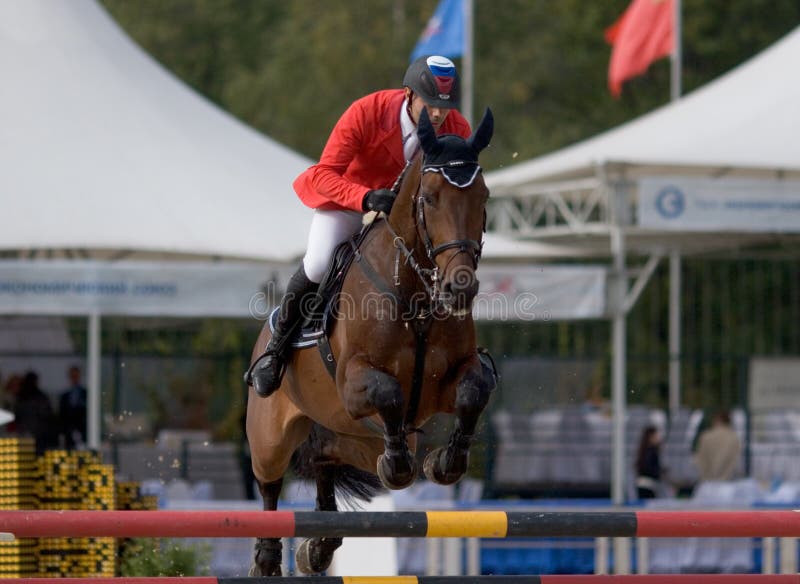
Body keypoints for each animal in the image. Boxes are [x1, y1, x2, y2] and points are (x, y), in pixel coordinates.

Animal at [247, 108, 496, 576]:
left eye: (484, 196)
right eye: (429, 197)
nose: (460, 289)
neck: (417, 295)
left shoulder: (451, 379)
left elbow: (476, 390)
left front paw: (442, 463)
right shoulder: (355, 382)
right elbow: (388, 391)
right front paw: (399, 467)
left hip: (354, 436)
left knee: (325, 458)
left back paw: (319, 546)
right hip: (271, 432)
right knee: (269, 482)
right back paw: (269, 559)